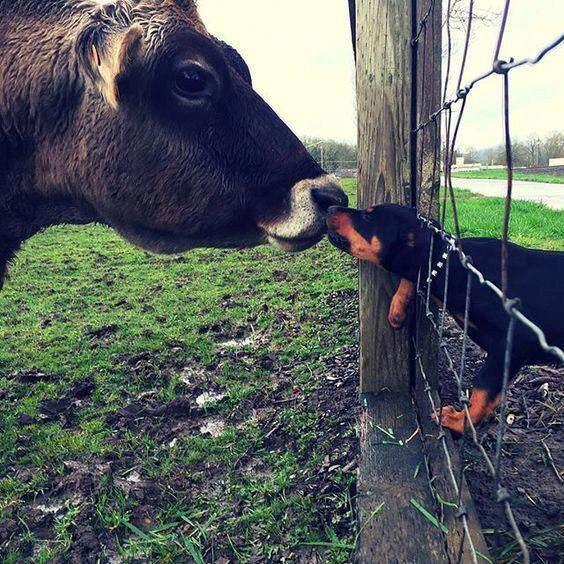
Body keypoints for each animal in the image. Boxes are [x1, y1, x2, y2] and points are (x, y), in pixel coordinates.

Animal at [326, 205, 564, 434]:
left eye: (368, 217)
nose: (330, 208)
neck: (455, 266)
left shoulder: (512, 343)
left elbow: (482, 389)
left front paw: (459, 421)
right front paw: (397, 312)